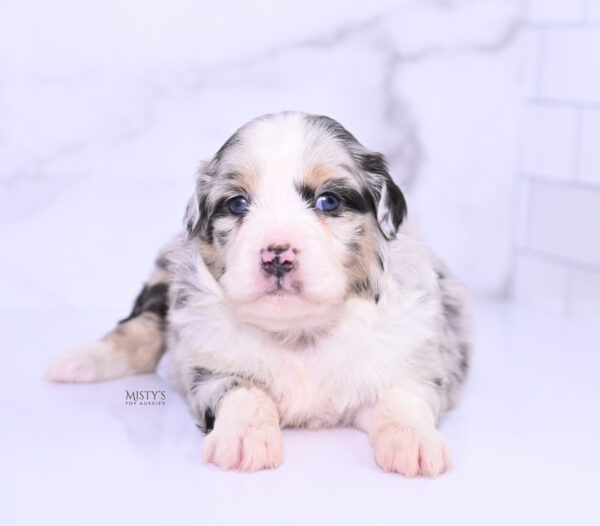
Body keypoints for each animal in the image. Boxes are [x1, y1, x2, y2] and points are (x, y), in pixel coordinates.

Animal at [45, 113, 468, 480]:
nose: (276, 255)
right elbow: (246, 392)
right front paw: (244, 438)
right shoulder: (210, 367)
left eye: (328, 201)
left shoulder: (413, 364)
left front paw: (415, 444)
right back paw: (78, 362)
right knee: (141, 327)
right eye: (237, 204)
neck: (300, 334)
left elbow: (403, 401)